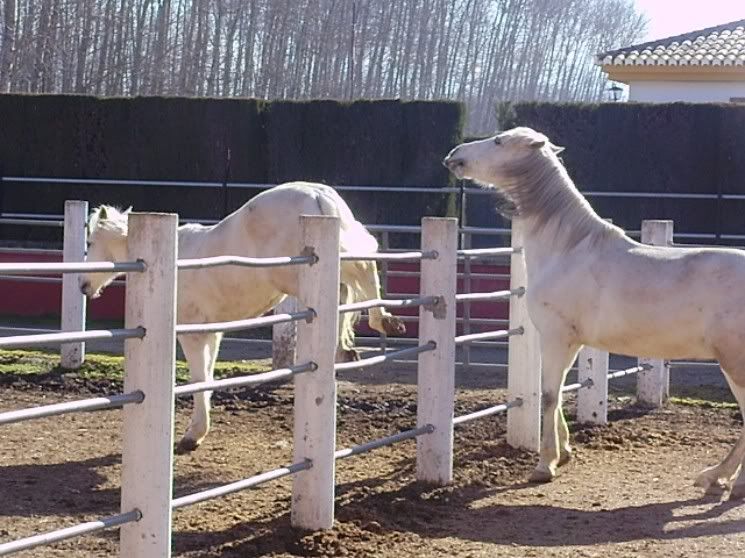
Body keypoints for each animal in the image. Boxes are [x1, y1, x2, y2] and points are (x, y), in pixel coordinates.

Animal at [80, 184, 404, 456]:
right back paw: (358, 340)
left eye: (91, 241)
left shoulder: (192, 334)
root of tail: (318, 196)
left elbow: (199, 379)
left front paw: (192, 435)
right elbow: (208, 379)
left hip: (295, 276)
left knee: (350, 282)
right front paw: (198, 432)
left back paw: (368, 331)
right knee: (355, 280)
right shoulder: (213, 333)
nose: (84, 285)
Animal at [444, 128, 744, 504]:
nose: (454, 155)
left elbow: (548, 394)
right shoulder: (569, 342)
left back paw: (723, 479)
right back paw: (720, 479)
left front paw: (545, 466)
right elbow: (557, 393)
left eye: (499, 141)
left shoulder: (556, 337)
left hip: (734, 365)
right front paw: (565, 452)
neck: (567, 248)